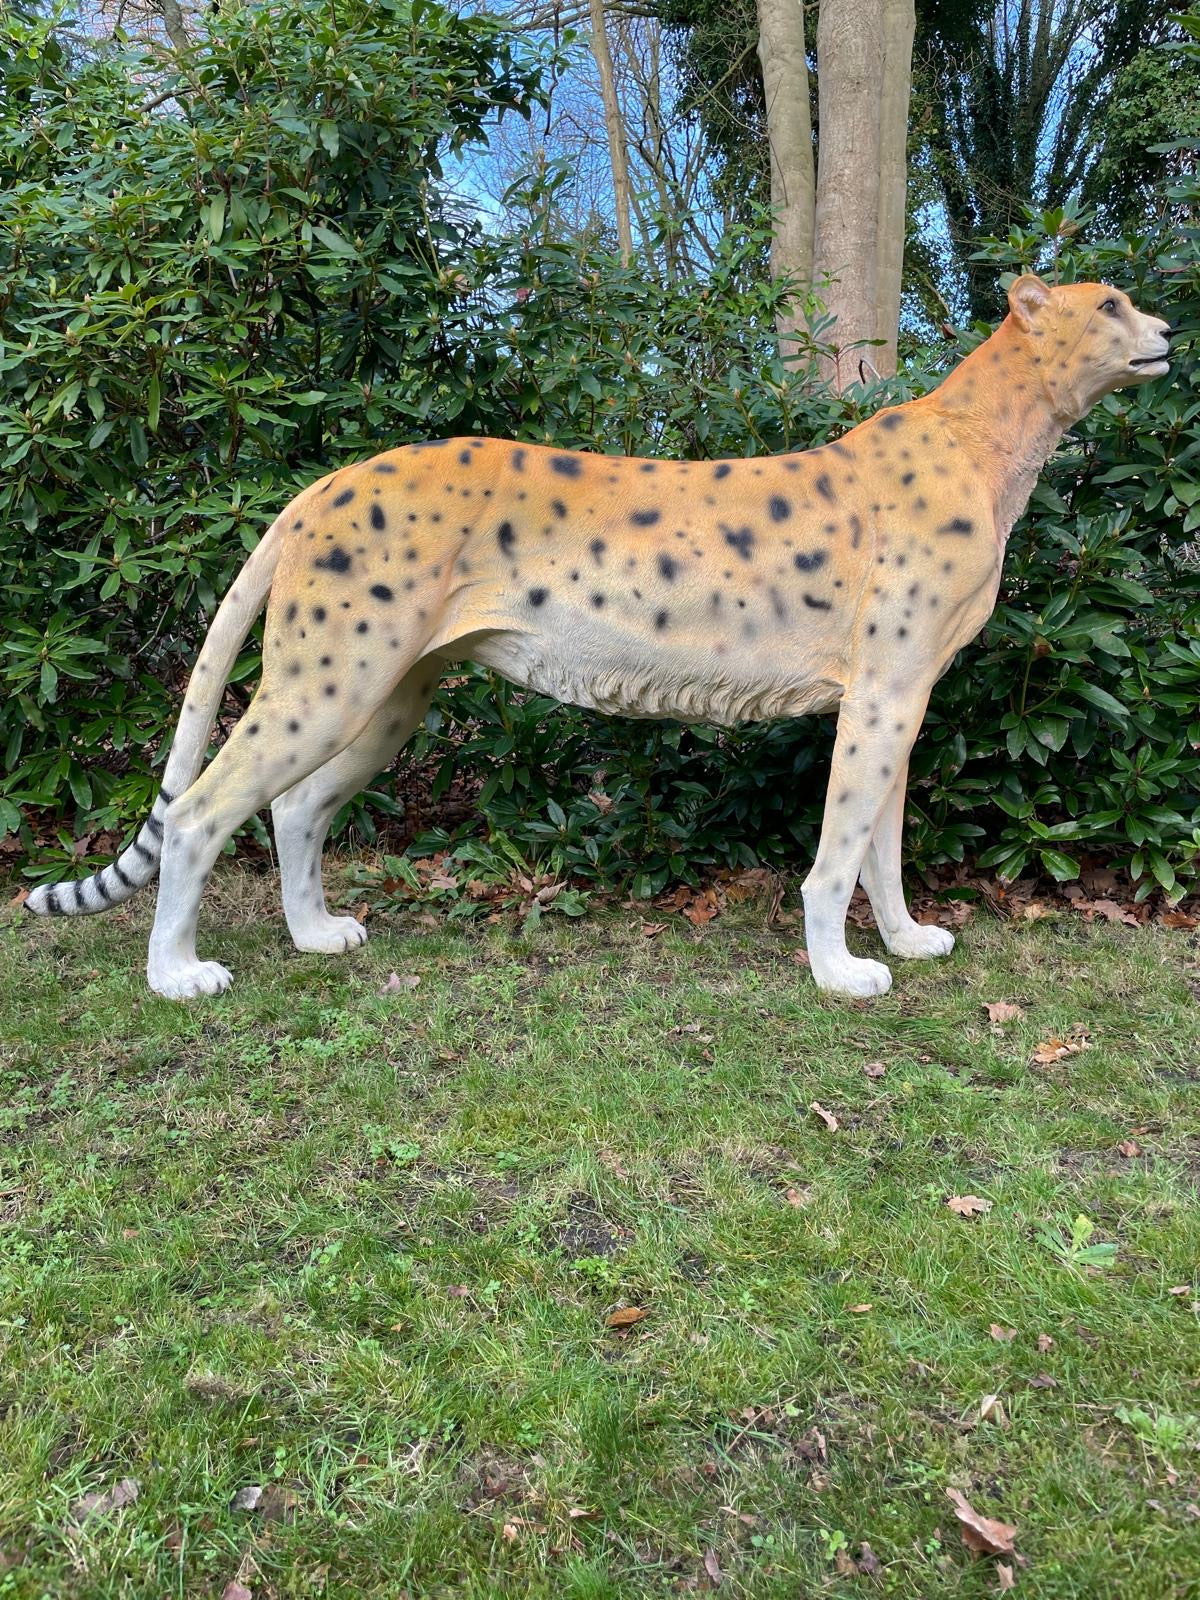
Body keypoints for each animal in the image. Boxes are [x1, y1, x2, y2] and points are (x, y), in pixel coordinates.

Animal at [26, 275, 1171, 999]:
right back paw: (175, 976)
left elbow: (880, 846)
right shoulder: (884, 693)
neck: (995, 432)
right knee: (203, 810)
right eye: (1111, 305)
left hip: (391, 693)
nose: (1167, 331)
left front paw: (907, 939)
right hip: (331, 680)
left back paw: (314, 936)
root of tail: (329, 479)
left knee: (298, 806)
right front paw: (839, 974)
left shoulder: (901, 695)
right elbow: (840, 848)